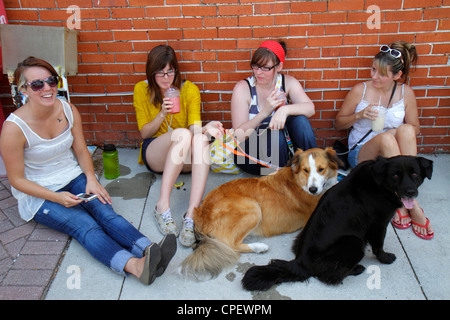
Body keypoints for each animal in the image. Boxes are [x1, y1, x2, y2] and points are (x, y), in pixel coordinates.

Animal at [179, 148, 342, 280]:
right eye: (305, 170)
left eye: (321, 169)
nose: (313, 190)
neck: (299, 181)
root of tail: (201, 213)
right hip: (253, 208)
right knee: (230, 245)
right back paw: (259, 247)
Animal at [243, 155, 432, 290]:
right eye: (395, 175)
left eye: (415, 174)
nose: (411, 192)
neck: (378, 183)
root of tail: (300, 262)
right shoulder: (378, 224)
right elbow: (379, 245)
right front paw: (385, 258)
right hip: (354, 242)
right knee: (329, 276)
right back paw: (357, 269)